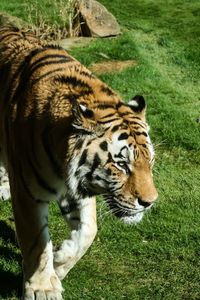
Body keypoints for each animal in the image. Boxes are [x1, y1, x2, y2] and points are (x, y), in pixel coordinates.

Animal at [0, 26, 158, 300]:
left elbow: (88, 231)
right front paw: (43, 288)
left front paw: (60, 262)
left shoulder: (78, 187)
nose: (149, 203)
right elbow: (37, 243)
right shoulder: (30, 194)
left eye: (150, 161)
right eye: (122, 165)